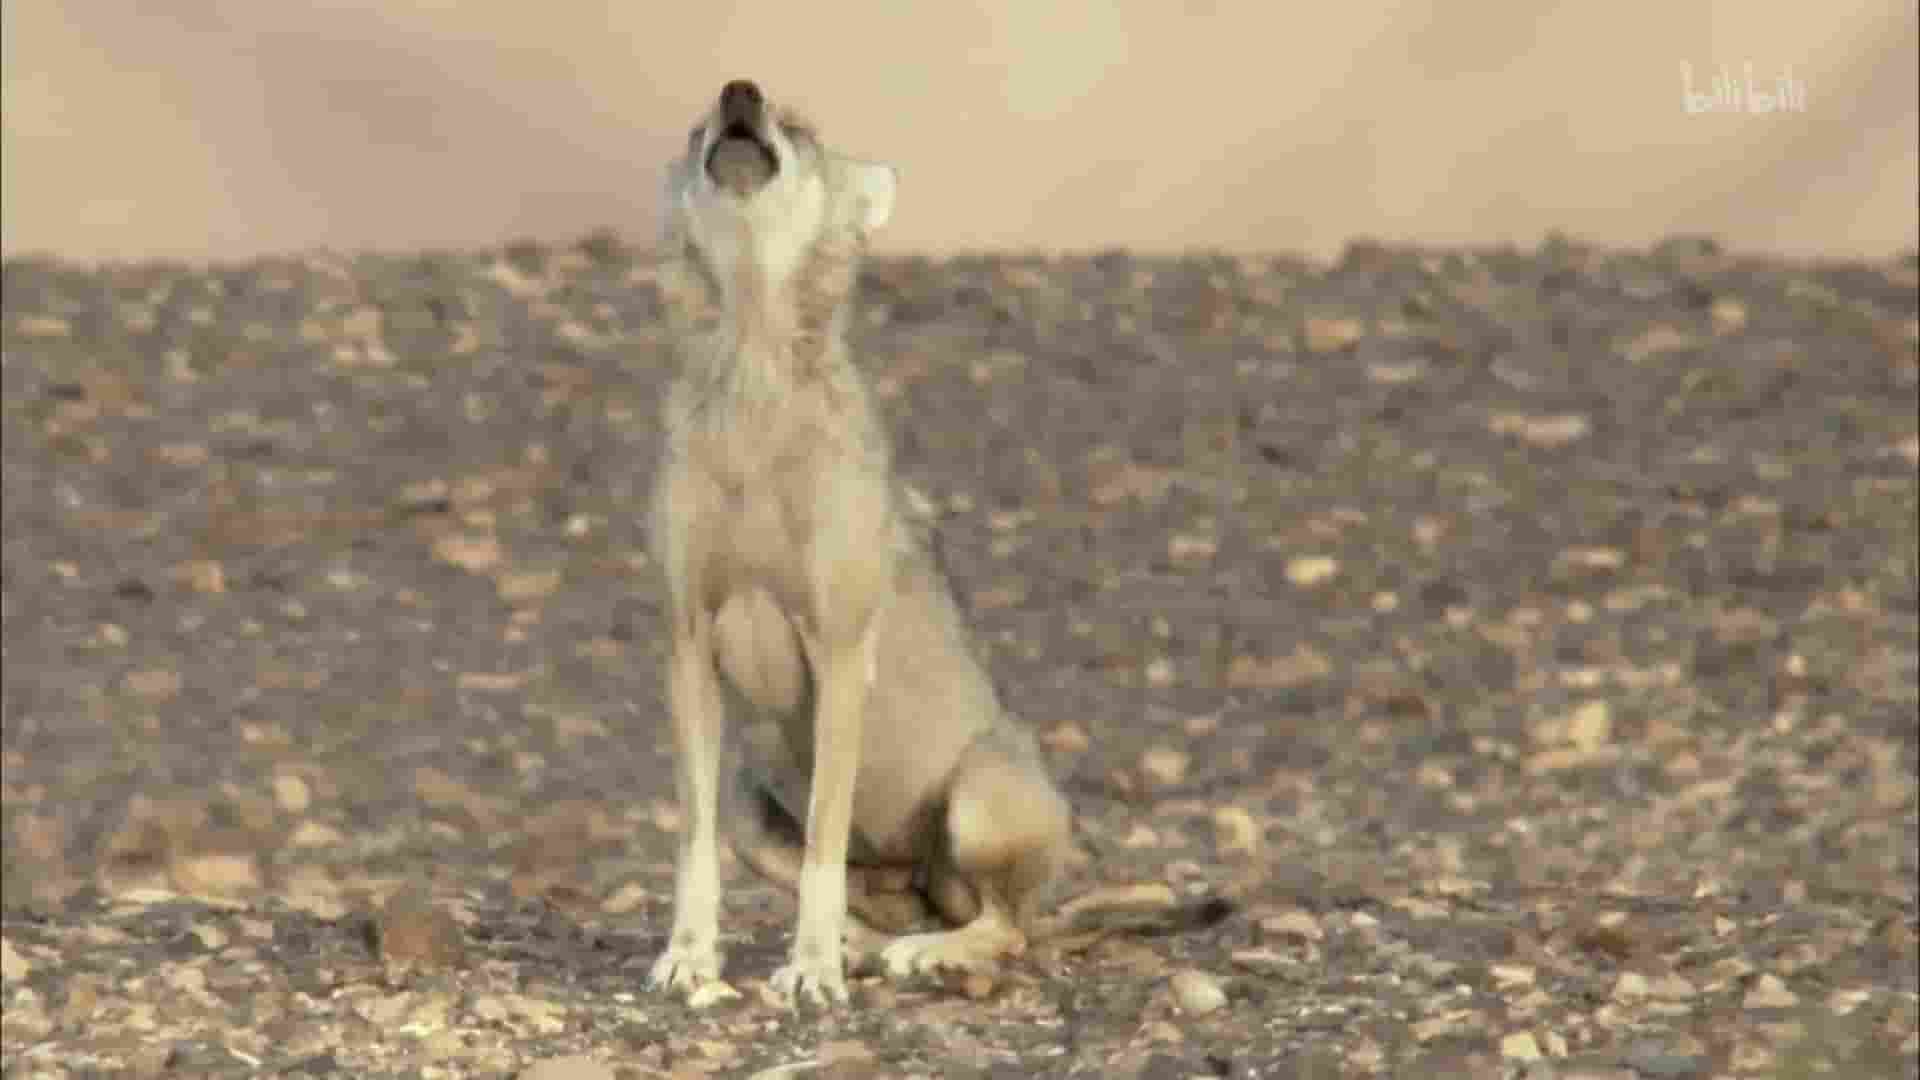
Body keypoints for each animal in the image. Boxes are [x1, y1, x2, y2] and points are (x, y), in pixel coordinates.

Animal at [644, 79, 1075, 1009]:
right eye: (699, 125)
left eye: (798, 127)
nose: (740, 92)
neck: (756, 387)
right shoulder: (688, 646)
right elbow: (694, 842)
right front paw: (690, 956)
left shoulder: (839, 653)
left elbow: (823, 843)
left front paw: (810, 970)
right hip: (756, 808)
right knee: (885, 903)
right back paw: (872, 943)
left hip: (978, 796)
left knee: (1006, 926)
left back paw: (925, 953)